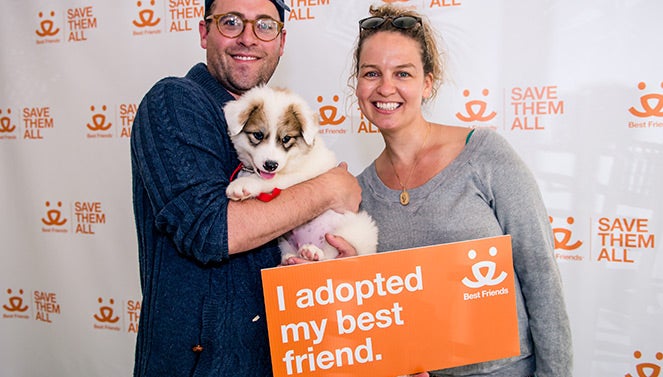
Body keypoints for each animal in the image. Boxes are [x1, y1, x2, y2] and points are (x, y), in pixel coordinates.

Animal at [224, 85, 376, 262]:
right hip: (285, 243)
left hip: (355, 228)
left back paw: (314, 253)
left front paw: (244, 185)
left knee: (329, 256)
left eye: (286, 138)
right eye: (258, 135)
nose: (271, 165)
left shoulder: (302, 172)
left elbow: (270, 180)